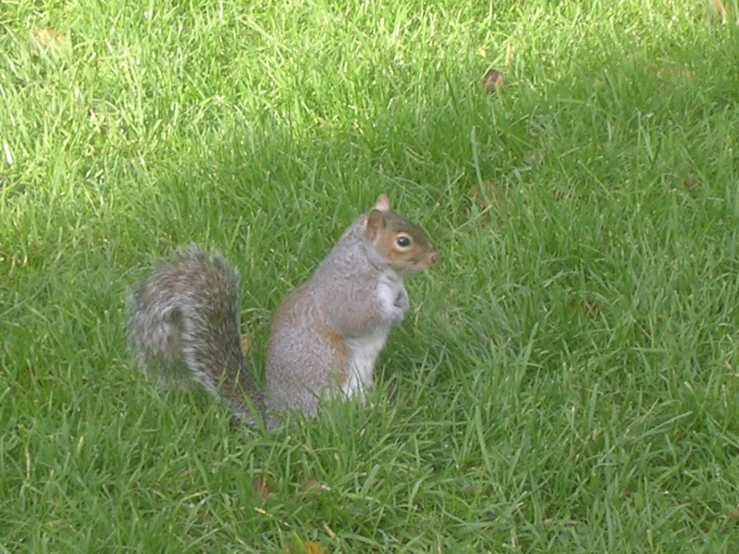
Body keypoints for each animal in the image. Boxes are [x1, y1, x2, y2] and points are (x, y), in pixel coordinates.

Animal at [126, 194, 440, 426]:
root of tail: (277, 417)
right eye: (403, 241)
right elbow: (360, 319)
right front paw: (394, 315)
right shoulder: (348, 295)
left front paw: (405, 302)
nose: (435, 256)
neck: (374, 265)